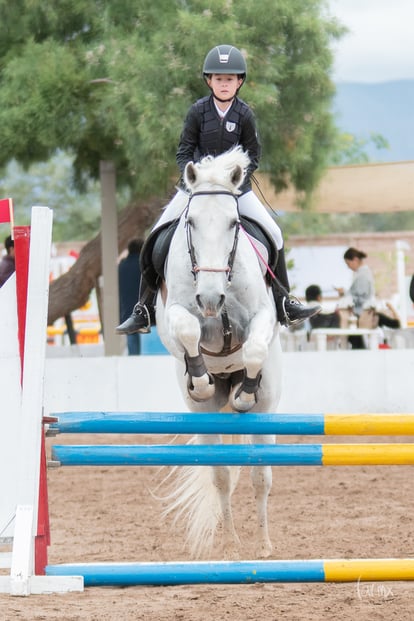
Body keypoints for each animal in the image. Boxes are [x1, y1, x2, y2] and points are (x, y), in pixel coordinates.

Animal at [157, 148, 284, 560]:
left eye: (233, 223)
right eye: (191, 222)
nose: (211, 298)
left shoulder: (263, 315)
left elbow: (255, 347)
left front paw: (245, 392)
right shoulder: (173, 313)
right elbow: (188, 330)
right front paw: (199, 378)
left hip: (268, 412)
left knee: (261, 475)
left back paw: (263, 545)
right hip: (205, 417)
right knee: (222, 476)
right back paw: (230, 545)